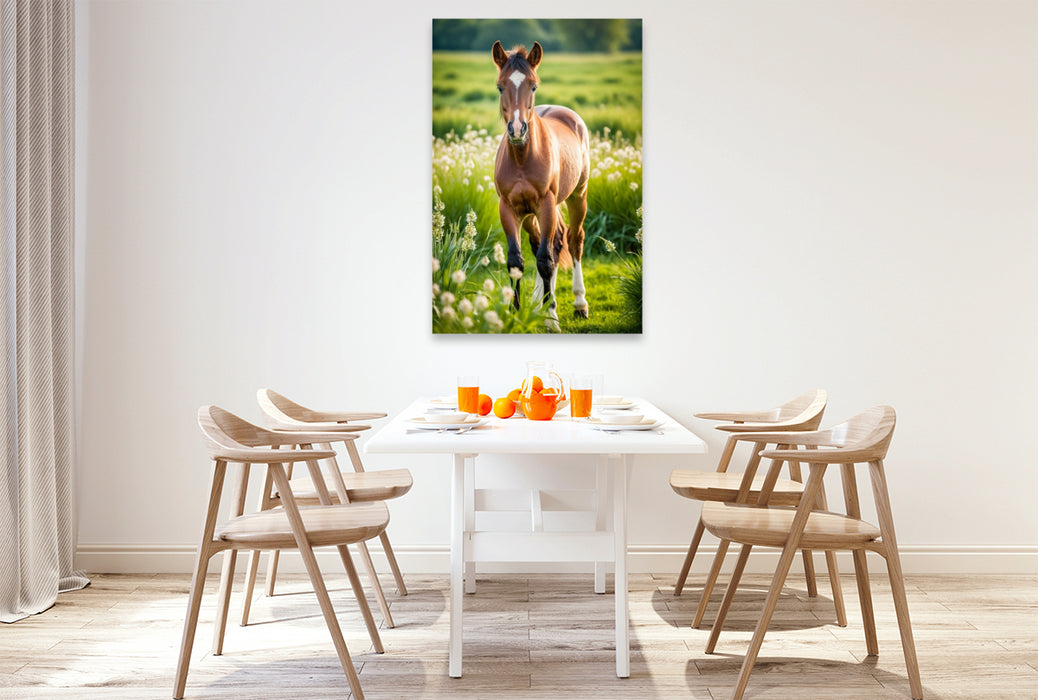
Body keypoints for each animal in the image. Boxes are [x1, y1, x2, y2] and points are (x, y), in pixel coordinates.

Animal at [491, 41, 591, 326]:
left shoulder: (546, 205)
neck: (524, 158)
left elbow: (546, 260)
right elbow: (517, 261)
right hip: (531, 214)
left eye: (533, 85)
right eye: (500, 86)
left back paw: (579, 304)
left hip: (577, 196)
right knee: (546, 243)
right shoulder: (508, 209)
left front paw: (551, 319)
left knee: (573, 240)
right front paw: (514, 313)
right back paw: (539, 303)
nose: (517, 130)